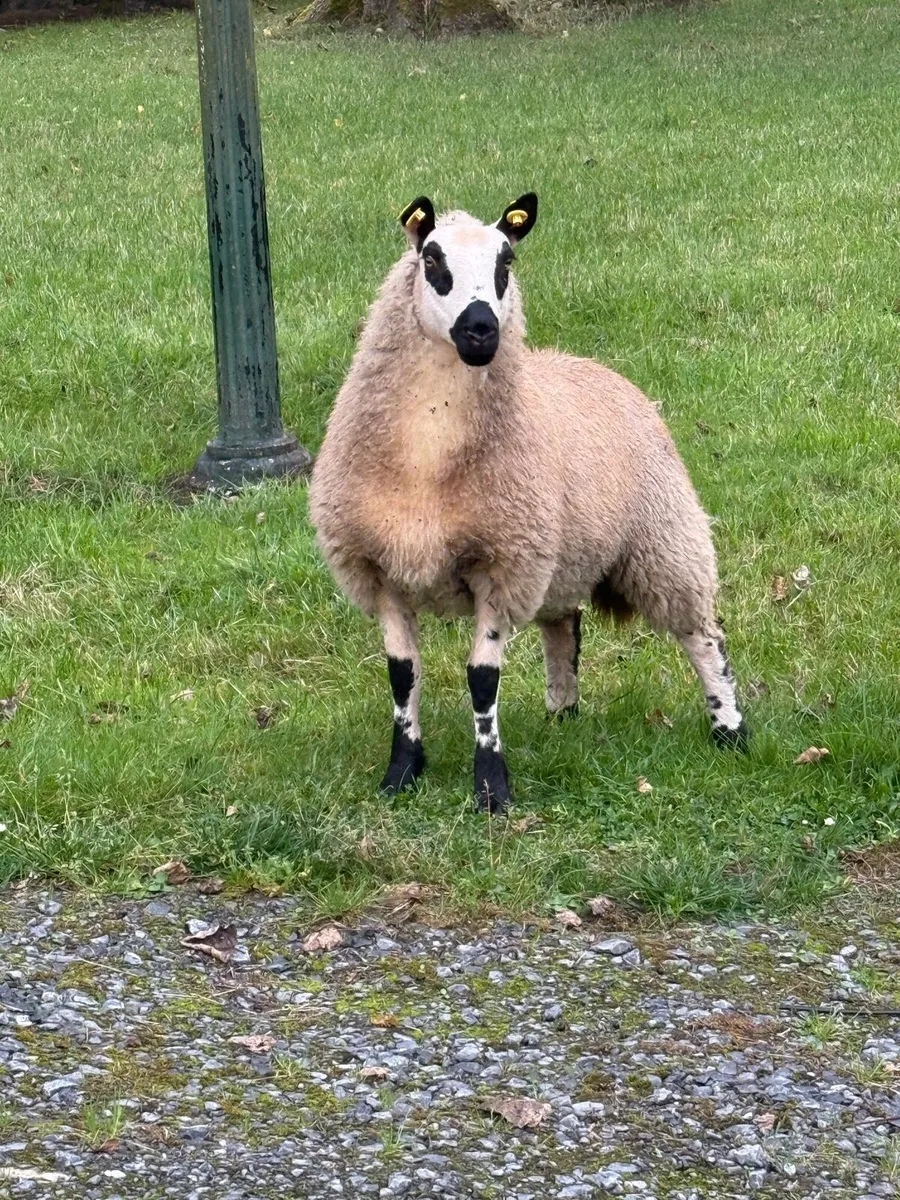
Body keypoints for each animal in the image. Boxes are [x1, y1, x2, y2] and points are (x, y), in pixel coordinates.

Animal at [309, 193, 749, 813]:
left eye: (506, 262)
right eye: (431, 259)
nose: (480, 330)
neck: (427, 462)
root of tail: (590, 364)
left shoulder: (503, 566)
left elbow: (481, 680)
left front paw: (492, 788)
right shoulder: (380, 569)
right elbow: (402, 676)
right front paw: (401, 774)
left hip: (664, 539)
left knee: (704, 635)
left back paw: (730, 730)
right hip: (561, 557)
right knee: (565, 626)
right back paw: (563, 715)